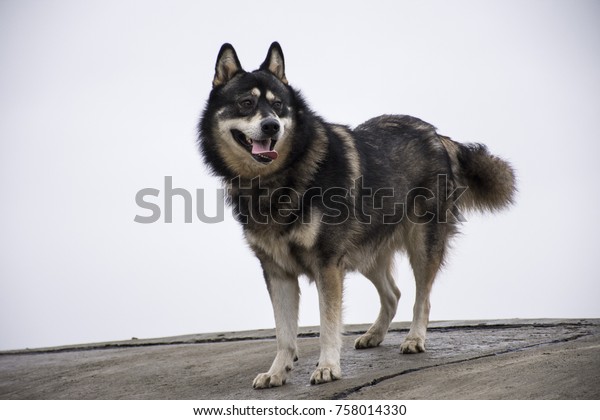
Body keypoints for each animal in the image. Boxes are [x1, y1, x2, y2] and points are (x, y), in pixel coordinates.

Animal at [197, 41, 516, 388]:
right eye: (246, 103)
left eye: (279, 105)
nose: (272, 126)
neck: (277, 180)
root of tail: (437, 135)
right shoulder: (277, 271)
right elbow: (284, 333)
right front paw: (277, 372)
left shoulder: (327, 264)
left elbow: (328, 323)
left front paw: (327, 367)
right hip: (365, 252)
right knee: (393, 293)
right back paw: (374, 335)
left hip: (420, 243)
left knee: (422, 296)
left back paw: (414, 339)